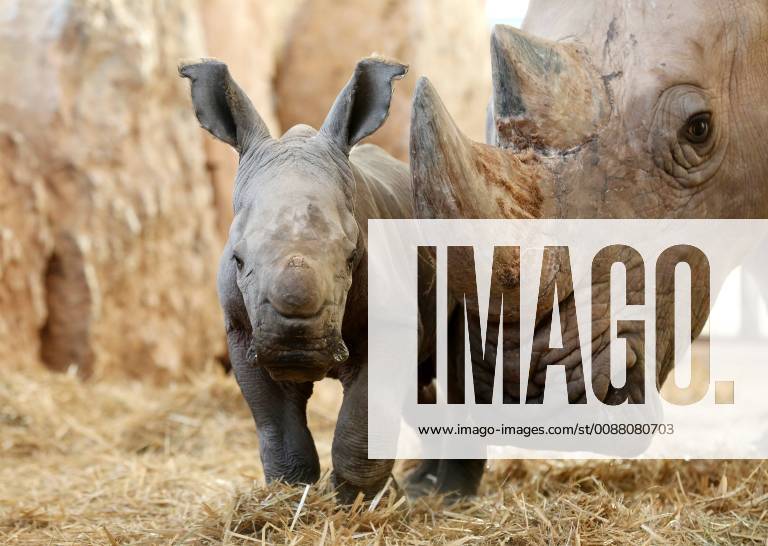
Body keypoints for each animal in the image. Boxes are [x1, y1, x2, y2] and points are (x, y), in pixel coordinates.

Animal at [180, 57, 435, 502]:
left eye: (352, 257)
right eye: (237, 259)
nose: (293, 347)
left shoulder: (392, 324)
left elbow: (361, 425)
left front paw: (356, 503)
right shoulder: (241, 330)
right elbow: (278, 428)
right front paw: (289, 495)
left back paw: (441, 493)